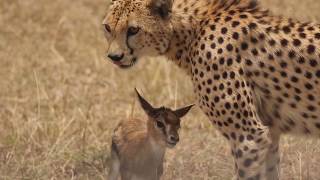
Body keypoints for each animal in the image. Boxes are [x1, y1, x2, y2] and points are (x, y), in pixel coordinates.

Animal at [102, 0, 320, 179]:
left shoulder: (249, 137)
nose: (114, 57)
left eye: (133, 30)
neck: (190, 31)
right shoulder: (269, 135)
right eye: (107, 27)